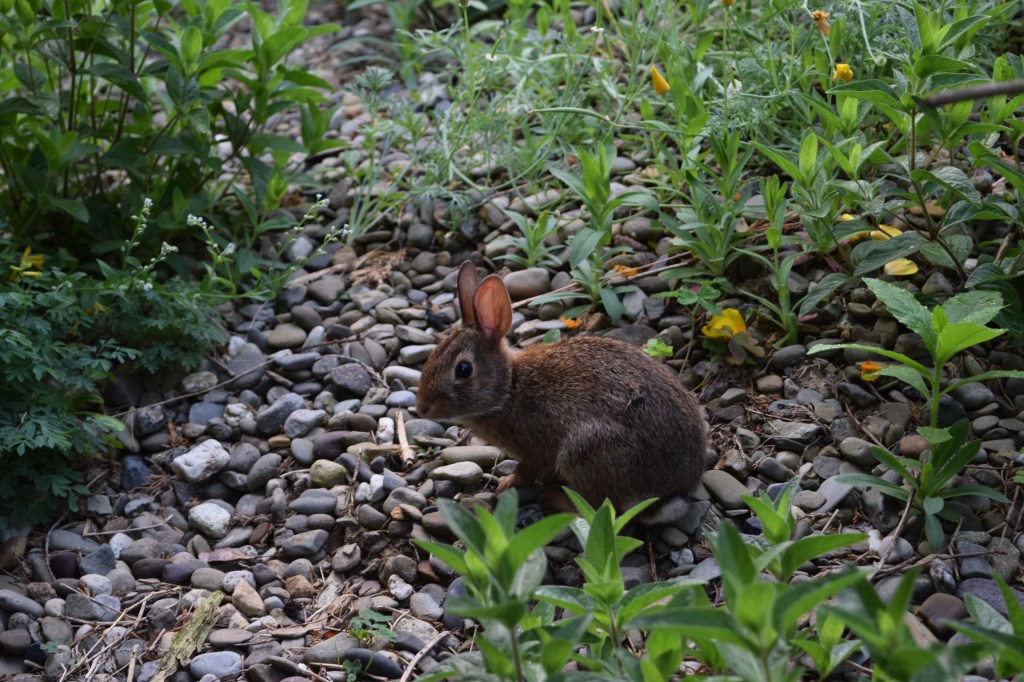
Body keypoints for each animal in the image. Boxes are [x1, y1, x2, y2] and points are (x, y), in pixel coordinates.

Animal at [415, 261, 707, 513]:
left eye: (463, 370)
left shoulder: (534, 449)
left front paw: (507, 483)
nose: (421, 409)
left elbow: (527, 469)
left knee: (603, 506)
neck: (508, 389)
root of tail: (682, 483)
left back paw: (555, 499)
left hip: (584, 453)